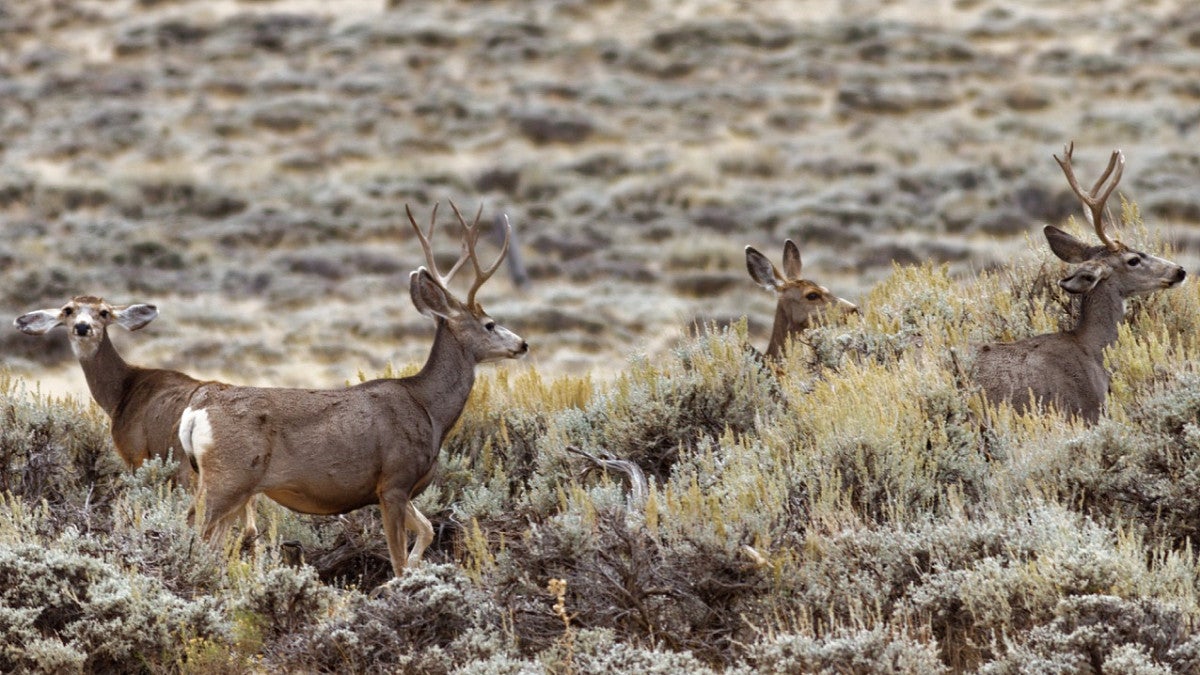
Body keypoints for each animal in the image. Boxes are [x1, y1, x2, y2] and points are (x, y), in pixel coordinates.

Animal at [13, 296, 261, 538]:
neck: (122, 392)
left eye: (103, 312)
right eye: (68, 310)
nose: (82, 327)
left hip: (194, 468)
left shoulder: (135, 452)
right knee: (247, 528)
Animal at [177, 203, 528, 577]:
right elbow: (398, 559)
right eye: (490, 324)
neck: (428, 408)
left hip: (237, 487)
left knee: (213, 544)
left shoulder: (388, 489)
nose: (523, 344)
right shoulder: (395, 479)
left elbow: (428, 530)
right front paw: (401, 582)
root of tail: (197, 408)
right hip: (228, 477)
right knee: (194, 526)